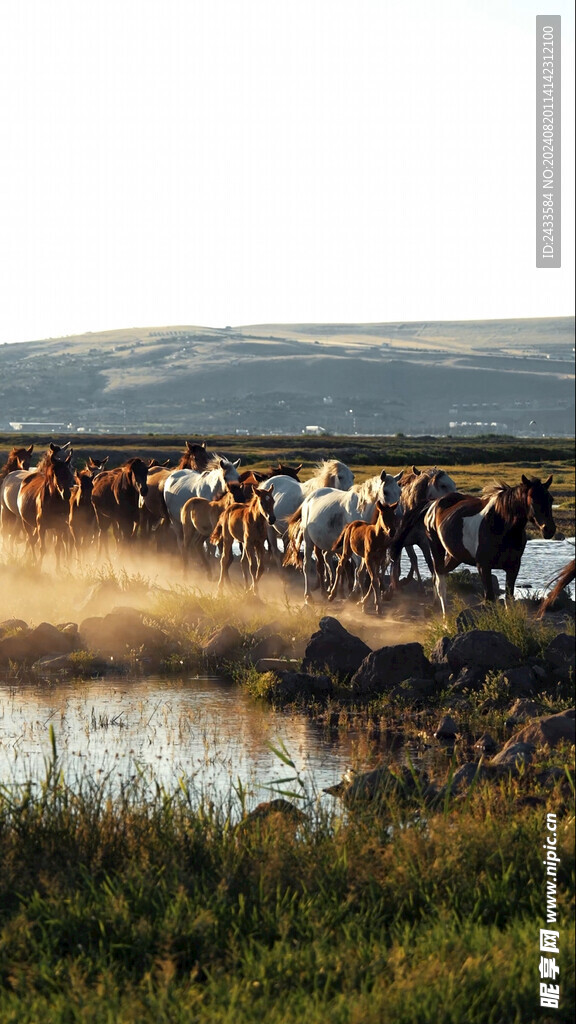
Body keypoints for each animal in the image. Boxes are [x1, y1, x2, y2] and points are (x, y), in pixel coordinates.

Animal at [284, 468, 401, 598]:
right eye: (385, 492)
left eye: (400, 492)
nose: (399, 515)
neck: (361, 511)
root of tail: (308, 500)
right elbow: (359, 571)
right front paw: (356, 594)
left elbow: (363, 571)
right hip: (309, 540)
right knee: (307, 564)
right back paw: (309, 595)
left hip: (330, 545)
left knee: (326, 558)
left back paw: (328, 589)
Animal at [414, 473, 553, 614]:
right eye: (532, 500)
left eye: (551, 499)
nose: (548, 529)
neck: (501, 525)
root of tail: (433, 505)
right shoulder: (483, 566)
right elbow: (489, 599)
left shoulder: (513, 567)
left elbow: (508, 599)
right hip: (436, 548)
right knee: (440, 581)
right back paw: (445, 616)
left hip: (454, 556)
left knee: (438, 576)